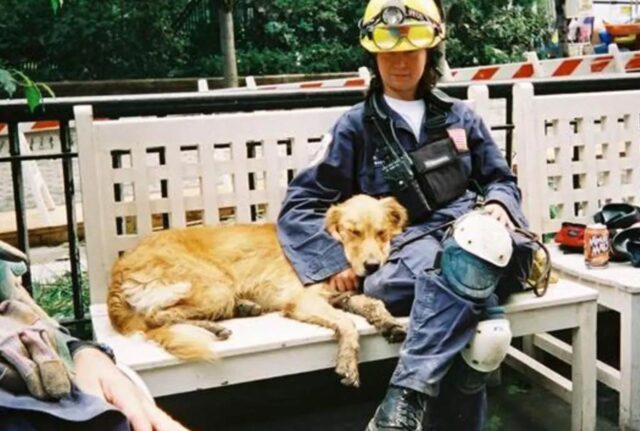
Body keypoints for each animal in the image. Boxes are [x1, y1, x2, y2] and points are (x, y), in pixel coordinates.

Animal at [107, 194, 408, 386]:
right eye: (353, 232)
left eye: (381, 233)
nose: (372, 266)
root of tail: (120, 265)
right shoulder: (303, 301)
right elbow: (348, 324)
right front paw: (347, 360)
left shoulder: (341, 296)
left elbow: (374, 304)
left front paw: (389, 322)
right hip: (216, 287)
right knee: (156, 317)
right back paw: (216, 326)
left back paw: (242, 308)